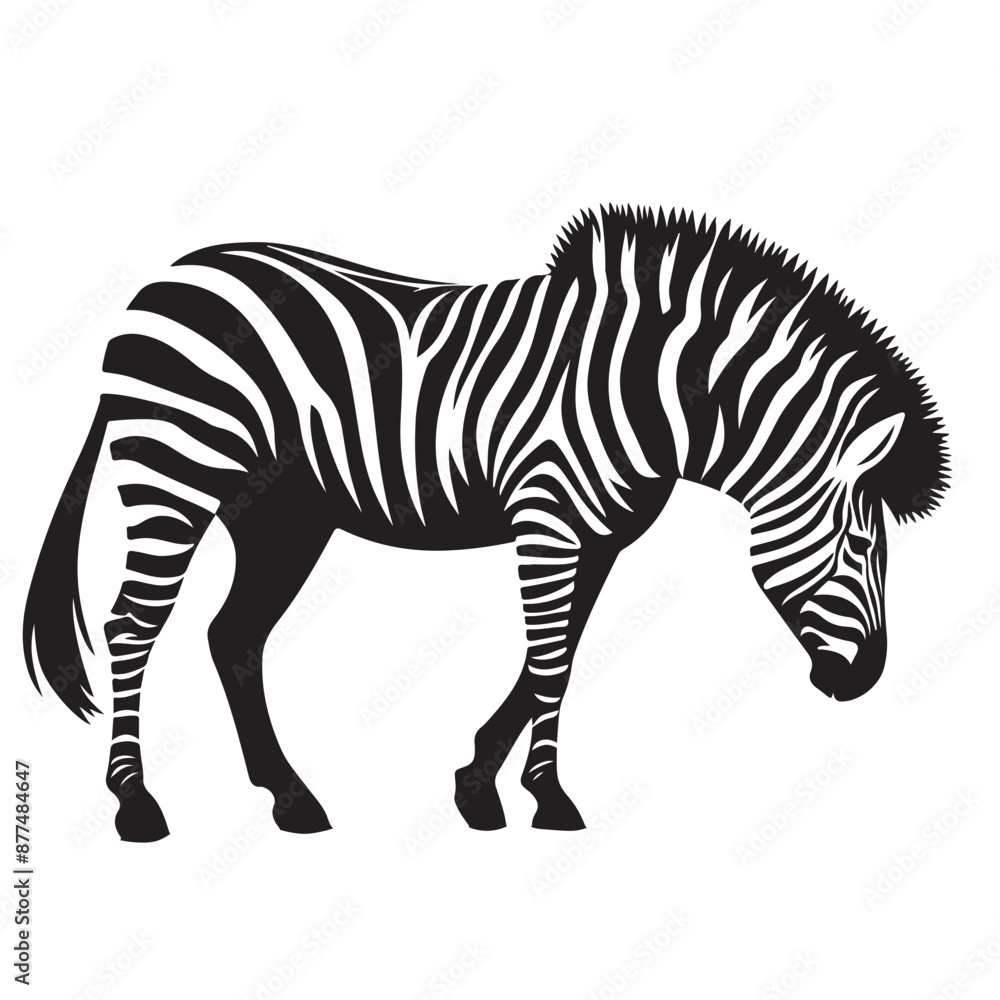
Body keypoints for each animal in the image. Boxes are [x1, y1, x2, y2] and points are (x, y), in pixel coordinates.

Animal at [23, 206, 948, 841]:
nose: (866, 679)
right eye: (863, 545)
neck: (649, 390)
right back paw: (137, 802)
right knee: (132, 626)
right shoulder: (546, 518)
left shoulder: (598, 536)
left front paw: (480, 787)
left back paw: (291, 797)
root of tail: (166, 278)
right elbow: (551, 663)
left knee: (234, 634)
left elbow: (554, 659)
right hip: (172, 472)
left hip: (281, 513)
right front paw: (549, 797)